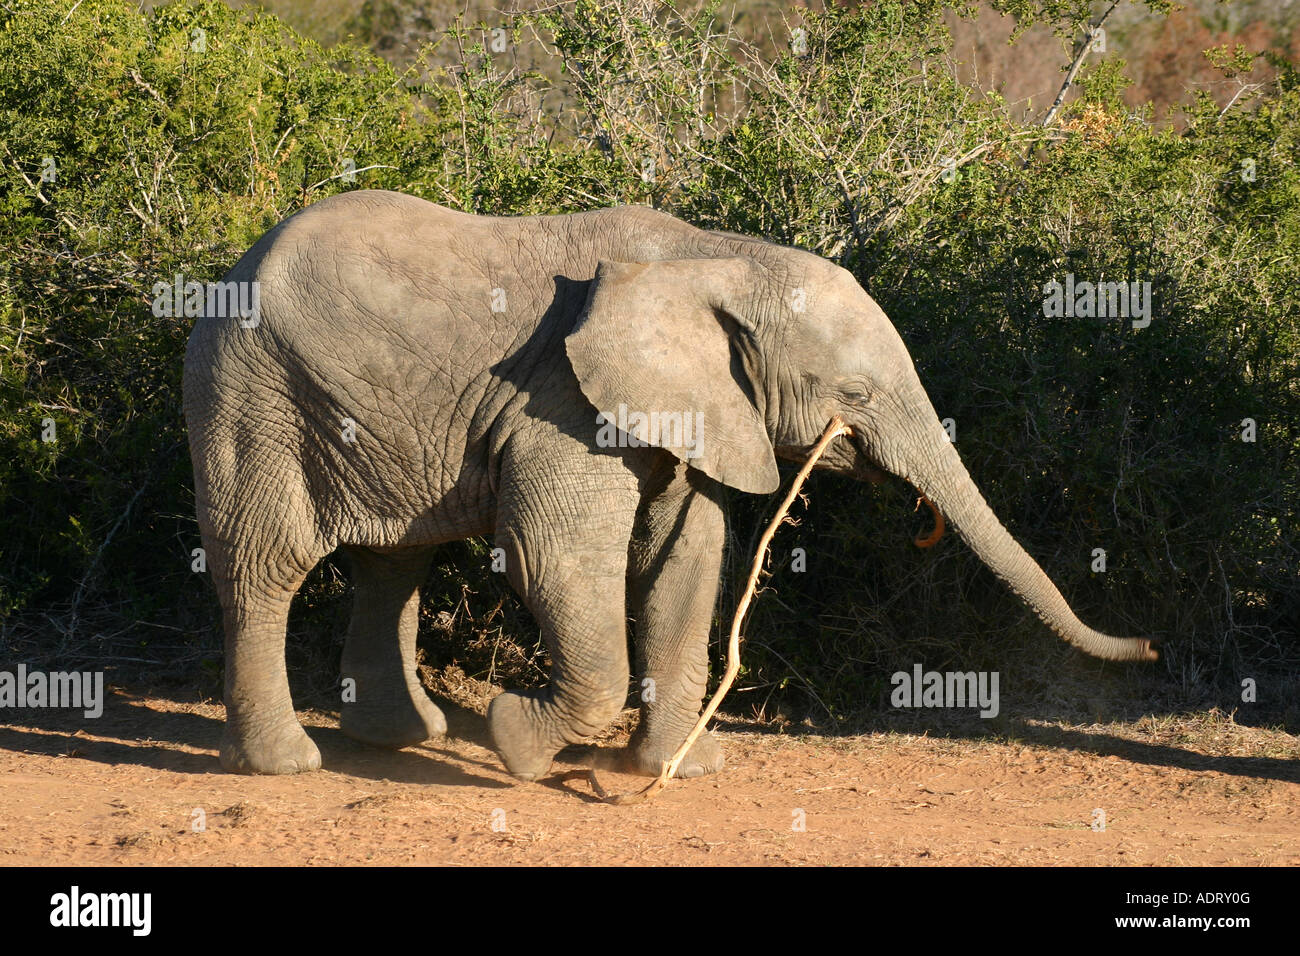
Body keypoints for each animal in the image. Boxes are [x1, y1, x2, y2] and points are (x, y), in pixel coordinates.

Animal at [183, 191, 1159, 780]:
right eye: (852, 396)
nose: (1147, 648)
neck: (717, 260)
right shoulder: (562, 400)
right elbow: (557, 557)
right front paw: (515, 745)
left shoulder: (691, 408)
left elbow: (685, 559)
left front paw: (675, 771)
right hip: (251, 391)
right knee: (265, 565)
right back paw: (290, 764)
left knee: (397, 560)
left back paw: (402, 740)